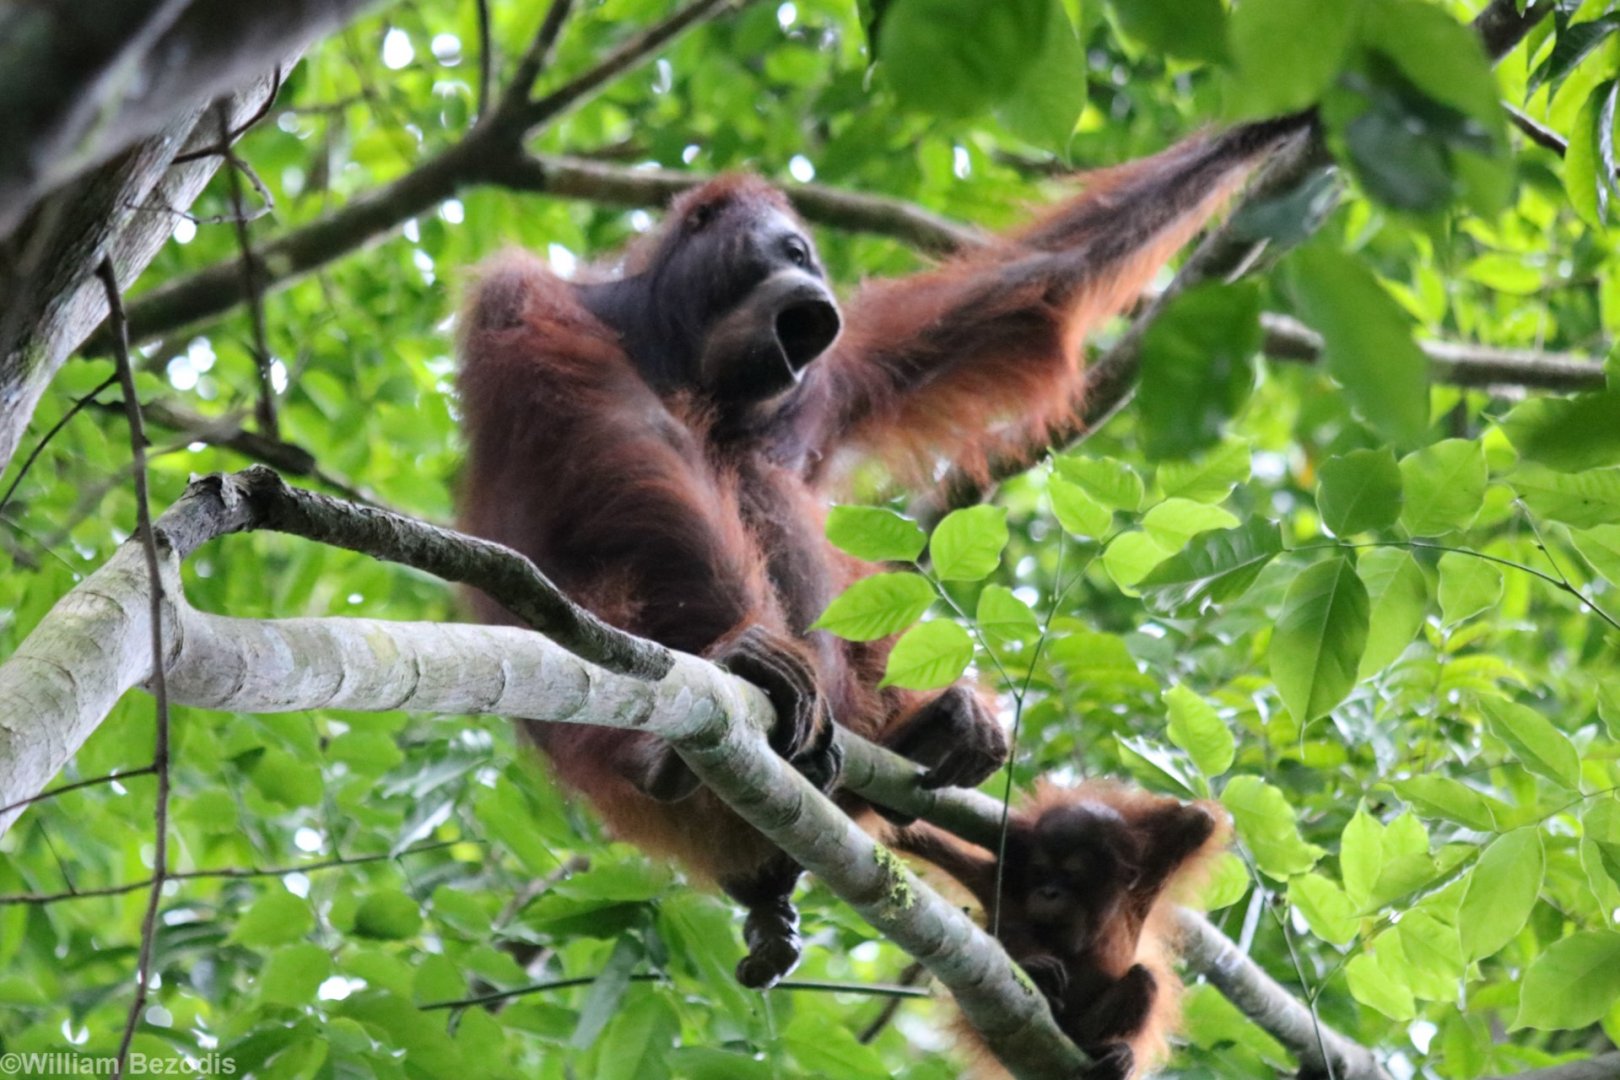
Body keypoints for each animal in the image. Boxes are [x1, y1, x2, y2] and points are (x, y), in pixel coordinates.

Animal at [455, 114, 1307, 990]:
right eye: (792, 249)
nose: (814, 285)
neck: (689, 355)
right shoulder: (531, 305)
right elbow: (629, 443)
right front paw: (743, 654)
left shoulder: (829, 382)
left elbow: (1032, 290)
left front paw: (1276, 127)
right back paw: (669, 765)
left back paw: (925, 739)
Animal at [892, 783, 1228, 1080]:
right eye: (1041, 870)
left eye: (1071, 874)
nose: (1048, 893)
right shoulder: (994, 883)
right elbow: (918, 837)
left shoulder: (1140, 892)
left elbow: (1197, 822)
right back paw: (1039, 974)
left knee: (1144, 980)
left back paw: (1104, 1050)